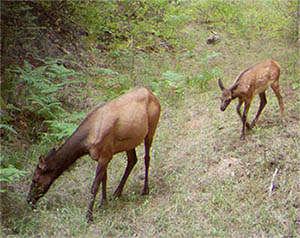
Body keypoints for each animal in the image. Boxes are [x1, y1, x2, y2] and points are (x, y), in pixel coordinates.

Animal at [27, 87, 161, 221]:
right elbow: (104, 179)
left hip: (151, 128)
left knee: (147, 157)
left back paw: (145, 189)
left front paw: (89, 216)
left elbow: (94, 185)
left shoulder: (105, 155)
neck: (86, 144)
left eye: (35, 179)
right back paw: (117, 192)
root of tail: (151, 93)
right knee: (133, 160)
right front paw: (103, 203)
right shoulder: (103, 156)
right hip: (129, 142)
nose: (28, 200)